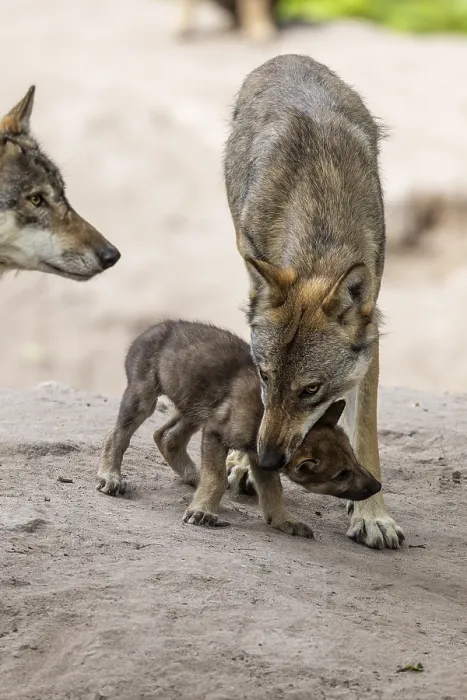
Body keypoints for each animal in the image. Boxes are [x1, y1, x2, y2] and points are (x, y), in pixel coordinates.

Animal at [97, 320, 381, 537]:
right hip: (144, 397)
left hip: (194, 407)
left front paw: (284, 520)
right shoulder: (215, 435)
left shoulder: (259, 459)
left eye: (354, 459)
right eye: (341, 475)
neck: (269, 419)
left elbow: (273, 491)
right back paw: (110, 476)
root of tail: (152, 329)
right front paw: (203, 511)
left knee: (166, 436)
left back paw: (193, 476)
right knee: (116, 435)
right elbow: (217, 477)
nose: (378, 487)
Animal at [224, 54, 404, 549]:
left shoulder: (371, 335)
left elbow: (364, 431)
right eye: (265, 376)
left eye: (310, 390)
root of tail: (288, 57)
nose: (268, 460)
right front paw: (245, 463)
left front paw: (372, 516)